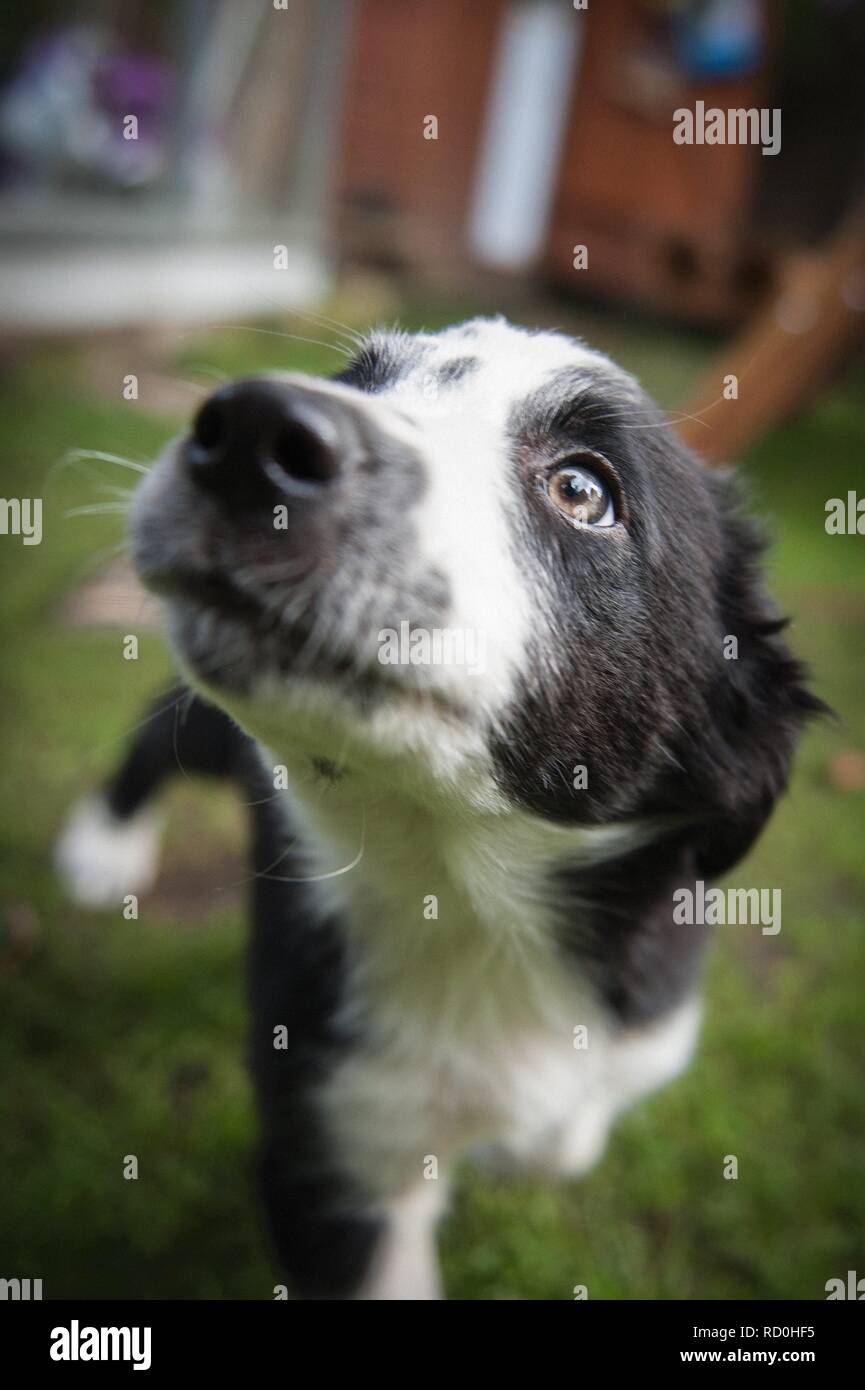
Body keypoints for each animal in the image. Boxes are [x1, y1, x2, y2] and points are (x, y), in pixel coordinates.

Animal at [59, 318, 817, 1301]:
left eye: (583, 490)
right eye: (356, 382)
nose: (252, 426)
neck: (469, 898)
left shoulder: (645, 1022)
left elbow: (566, 1130)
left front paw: (530, 1140)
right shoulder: (333, 1142)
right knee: (159, 731)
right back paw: (103, 846)